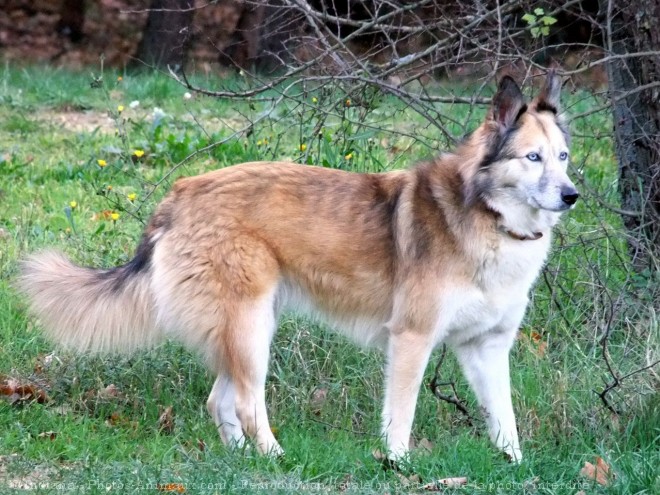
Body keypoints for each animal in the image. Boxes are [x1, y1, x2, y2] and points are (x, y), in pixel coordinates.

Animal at [18, 71, 576, 464]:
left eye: (564, 156)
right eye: (531, 157)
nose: (572, 195)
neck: (486, 218)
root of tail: (179, 194)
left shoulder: (487, 348)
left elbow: (505, 420)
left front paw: (515, 466)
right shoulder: (412, 339)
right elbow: (401, 415)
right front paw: (398, 465)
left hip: (250, 327)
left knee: (219, 402)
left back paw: (246, 461)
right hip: (250, 328)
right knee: (245, 403)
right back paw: (275, 458)